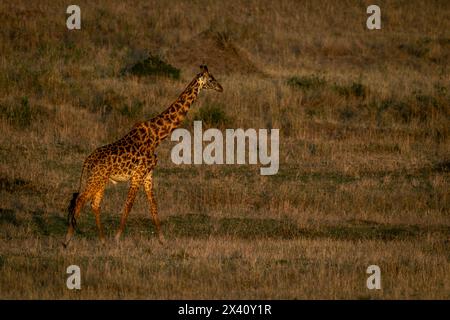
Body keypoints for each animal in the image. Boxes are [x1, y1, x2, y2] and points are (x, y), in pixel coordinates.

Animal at [62, 63, 224, 246]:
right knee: (80, 200)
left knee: (94, 204)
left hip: (100, 179)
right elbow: (128, 205)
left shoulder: (148, 174)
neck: (157, 136)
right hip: (97, 178)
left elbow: (153, 206)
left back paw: (102, 240)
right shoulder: (138, 174)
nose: (221, 88)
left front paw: (162, 239)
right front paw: (117, 237)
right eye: (211, 79)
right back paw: (67, 240)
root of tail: (87, 161)